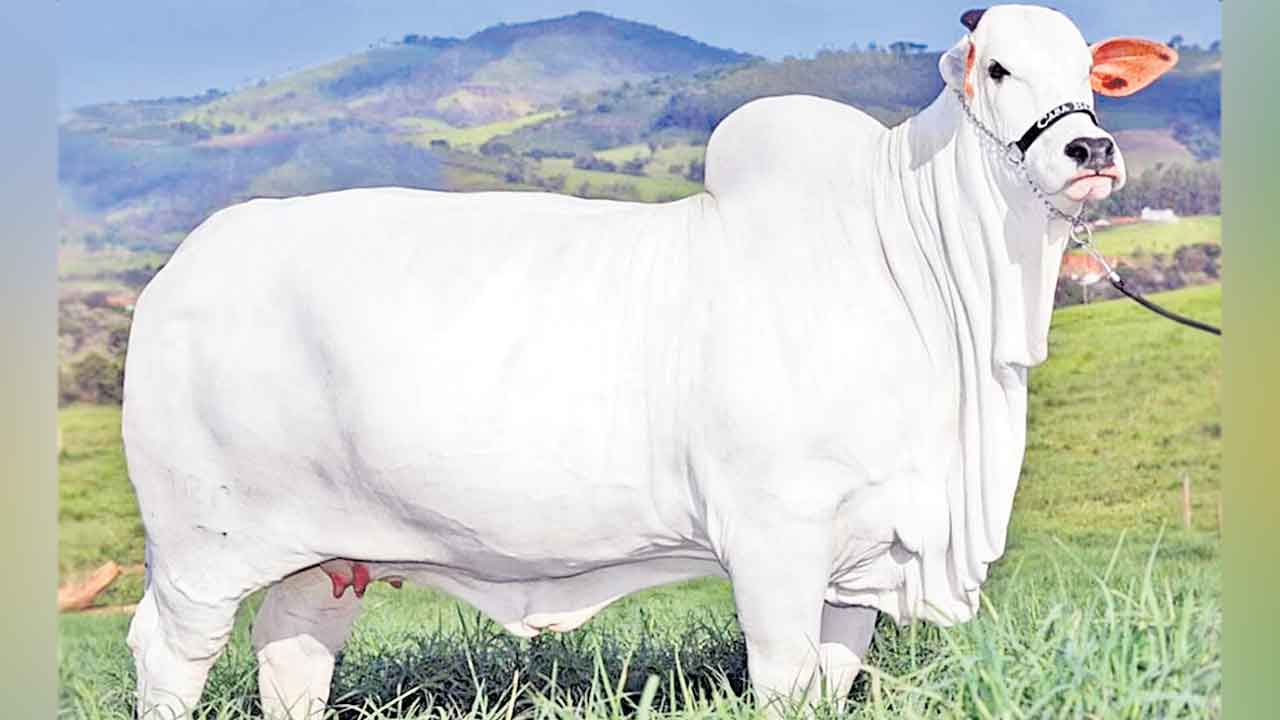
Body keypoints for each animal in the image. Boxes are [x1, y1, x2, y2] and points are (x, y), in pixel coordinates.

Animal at [121, 5, 1176, 718]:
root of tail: (181, 268)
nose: (1091, 148)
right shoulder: (775, 537)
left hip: (327, 555)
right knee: (168, 654)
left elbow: (830, 683)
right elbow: (783, 681)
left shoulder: (859, 559)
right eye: (996, 67)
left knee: (291, 652)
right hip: (199, 548)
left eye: (1088, 69)